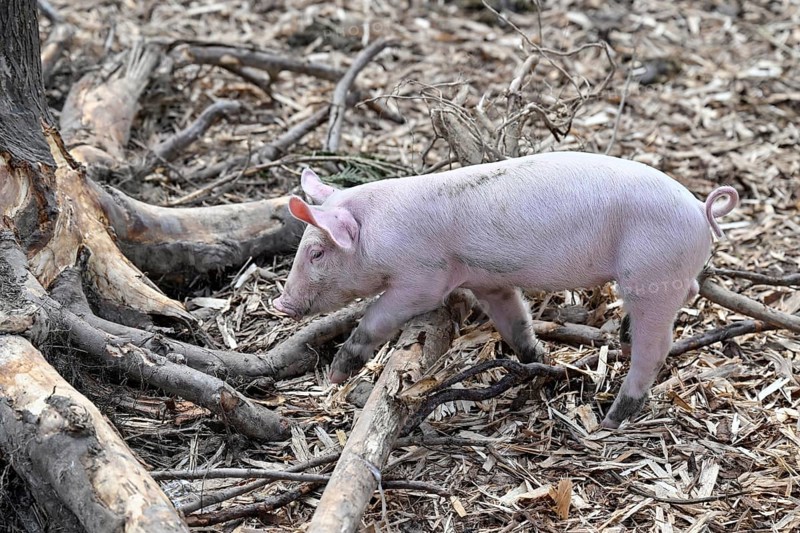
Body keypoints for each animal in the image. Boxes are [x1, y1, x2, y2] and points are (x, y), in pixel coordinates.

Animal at [273, 152, 739, 429]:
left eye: (316, 252)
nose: (281, 303)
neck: (377, 235)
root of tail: (701, 210)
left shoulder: (422, 277)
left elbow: (381, 315)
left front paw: (337, 374)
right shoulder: (487, 279)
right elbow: (514, 321)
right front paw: (541, 363)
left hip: (650, 275)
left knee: (655, 347)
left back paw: (611, 418)